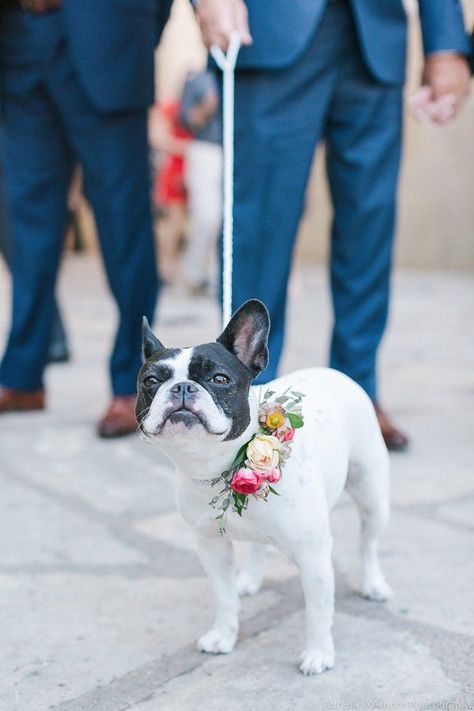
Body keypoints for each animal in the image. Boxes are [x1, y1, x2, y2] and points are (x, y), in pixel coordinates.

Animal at [135, 298, 390, 676]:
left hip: (372, 492)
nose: (181, 388)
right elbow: (224, 597)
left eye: (219, 378)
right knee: (257, 547)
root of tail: (333, 372)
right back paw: (249, 580)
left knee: (369, 543)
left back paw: (373, 584)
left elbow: (318, 610)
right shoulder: (211, 547)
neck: (220, 467)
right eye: (151, 381)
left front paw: (318, 654)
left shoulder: (313, 555)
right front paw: (223, 636)